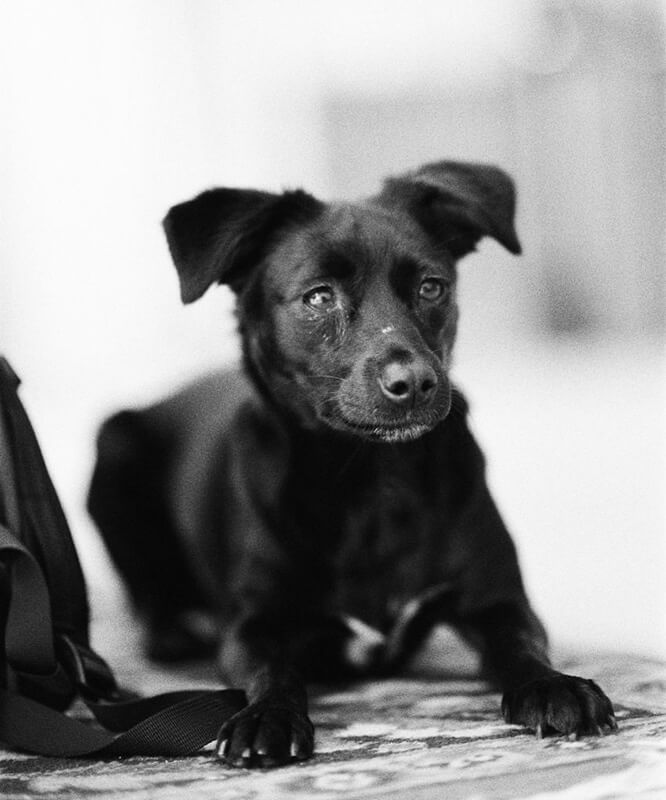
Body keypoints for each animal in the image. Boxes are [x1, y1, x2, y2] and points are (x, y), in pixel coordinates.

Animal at [87, 160, 616, 768]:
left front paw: (553, 686)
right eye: (319, 297)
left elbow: (522, 644)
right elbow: (272, 672)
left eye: (431, 287)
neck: (373, 480)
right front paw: (267, 717)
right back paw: (173, 632)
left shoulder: (496, 599)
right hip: (112, 444)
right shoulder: (254, 624)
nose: (413, 383)